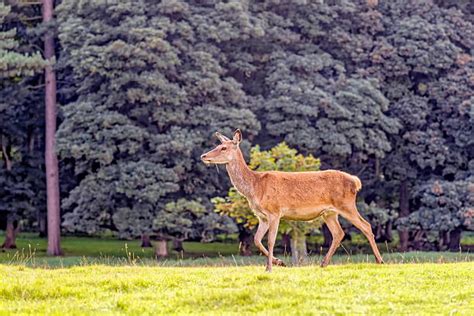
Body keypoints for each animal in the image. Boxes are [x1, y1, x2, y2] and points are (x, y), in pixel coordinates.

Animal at [201, 128, 386, 272]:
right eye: (217, 146)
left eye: (223, 147)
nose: (204, 155)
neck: (255, 188)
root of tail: (355, 181)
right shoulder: (261, 216)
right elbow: (257, 240)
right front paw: (279, 262)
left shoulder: (275, 212)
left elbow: (270, 240)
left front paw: (270, 267)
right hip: (329, 212)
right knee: (339, 233)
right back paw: (323, 263)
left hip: (346, 204)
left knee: (366, 226)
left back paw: (380, 260)